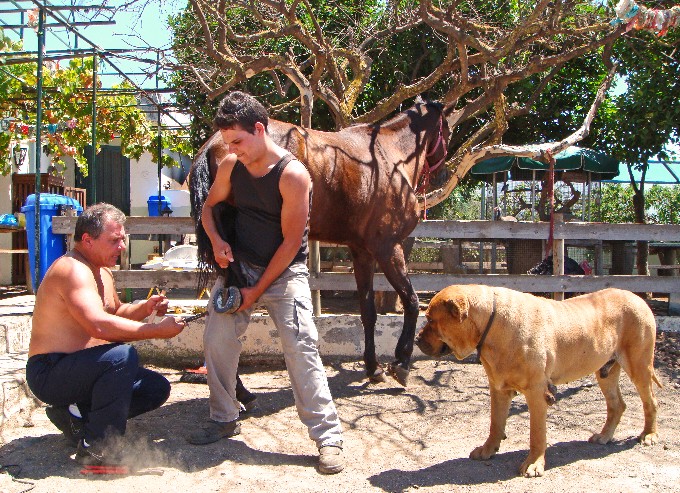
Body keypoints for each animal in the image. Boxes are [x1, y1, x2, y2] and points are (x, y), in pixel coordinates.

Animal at [189, 98, 448, 386]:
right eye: (447, 129)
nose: (442, 173)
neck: (389, 155)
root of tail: (212, 145)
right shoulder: (388, 248)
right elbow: (411, 301)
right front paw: (401, 362)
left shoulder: (362, 252)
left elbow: (368, 311)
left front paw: (373, 367)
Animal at [412, 284, 660, 476]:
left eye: (431, 320)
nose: (416, 339)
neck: (492, 325)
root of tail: (638, 298)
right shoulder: (498, 388)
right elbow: (495, 423)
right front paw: (488, 450)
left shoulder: (536, 392)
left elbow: (536, 433)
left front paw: (533, 464)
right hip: (605, 371)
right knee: (617, 404)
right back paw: (604, 436)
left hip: (639, 366)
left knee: (651, 402)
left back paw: (649, 435)